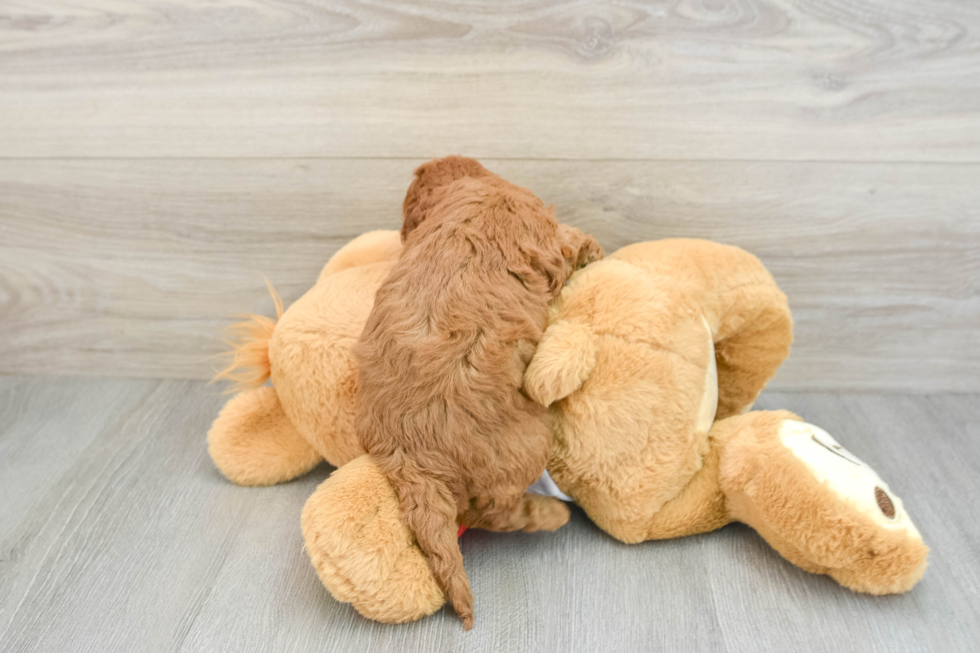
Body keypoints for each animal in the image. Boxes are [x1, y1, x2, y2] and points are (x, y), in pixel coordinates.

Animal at [352, 157, 596, 628]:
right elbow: (573, 244)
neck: (478, 186)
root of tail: (407, 453)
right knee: (493, 513)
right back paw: (550, 514)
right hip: (525, 446)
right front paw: (595, 251)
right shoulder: (549, 237)